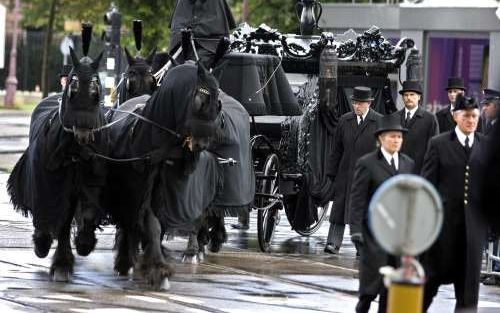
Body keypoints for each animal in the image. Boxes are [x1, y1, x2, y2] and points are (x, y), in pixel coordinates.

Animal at [6, 42, 106, 280]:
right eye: (73, 88)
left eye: (96, 90)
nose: (83, 133)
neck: (74, 152)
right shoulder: (50, 184)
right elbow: (54, 214)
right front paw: (53, 255)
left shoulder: (88, 184)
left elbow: (86, 213)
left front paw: (83, 244)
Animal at [104, 62, 222, 288]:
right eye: (200, 100)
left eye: (218, 103)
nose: (203, 143)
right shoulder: (138, 186)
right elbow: (146, 222)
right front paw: (148, 266)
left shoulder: (162, 188)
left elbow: (157, 225)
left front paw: (156, 266)